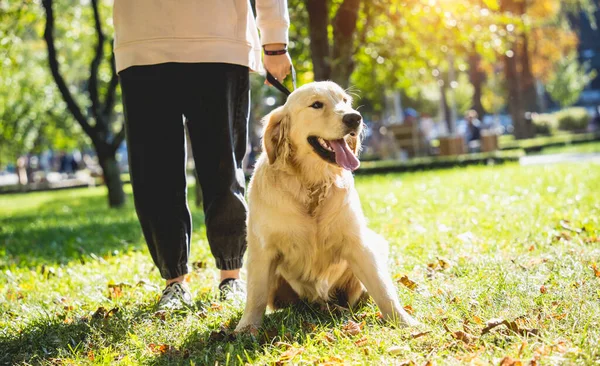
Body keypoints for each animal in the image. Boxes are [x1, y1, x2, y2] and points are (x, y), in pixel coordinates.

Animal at [234, 81, 418, 334]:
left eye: (345, 101)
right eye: (316, 105)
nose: (355, 118)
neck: (311, 184)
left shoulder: (359, 244)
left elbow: (382, 288)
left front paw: (403, 322)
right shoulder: (263, 250)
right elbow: (256, 294)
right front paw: (246, 328)